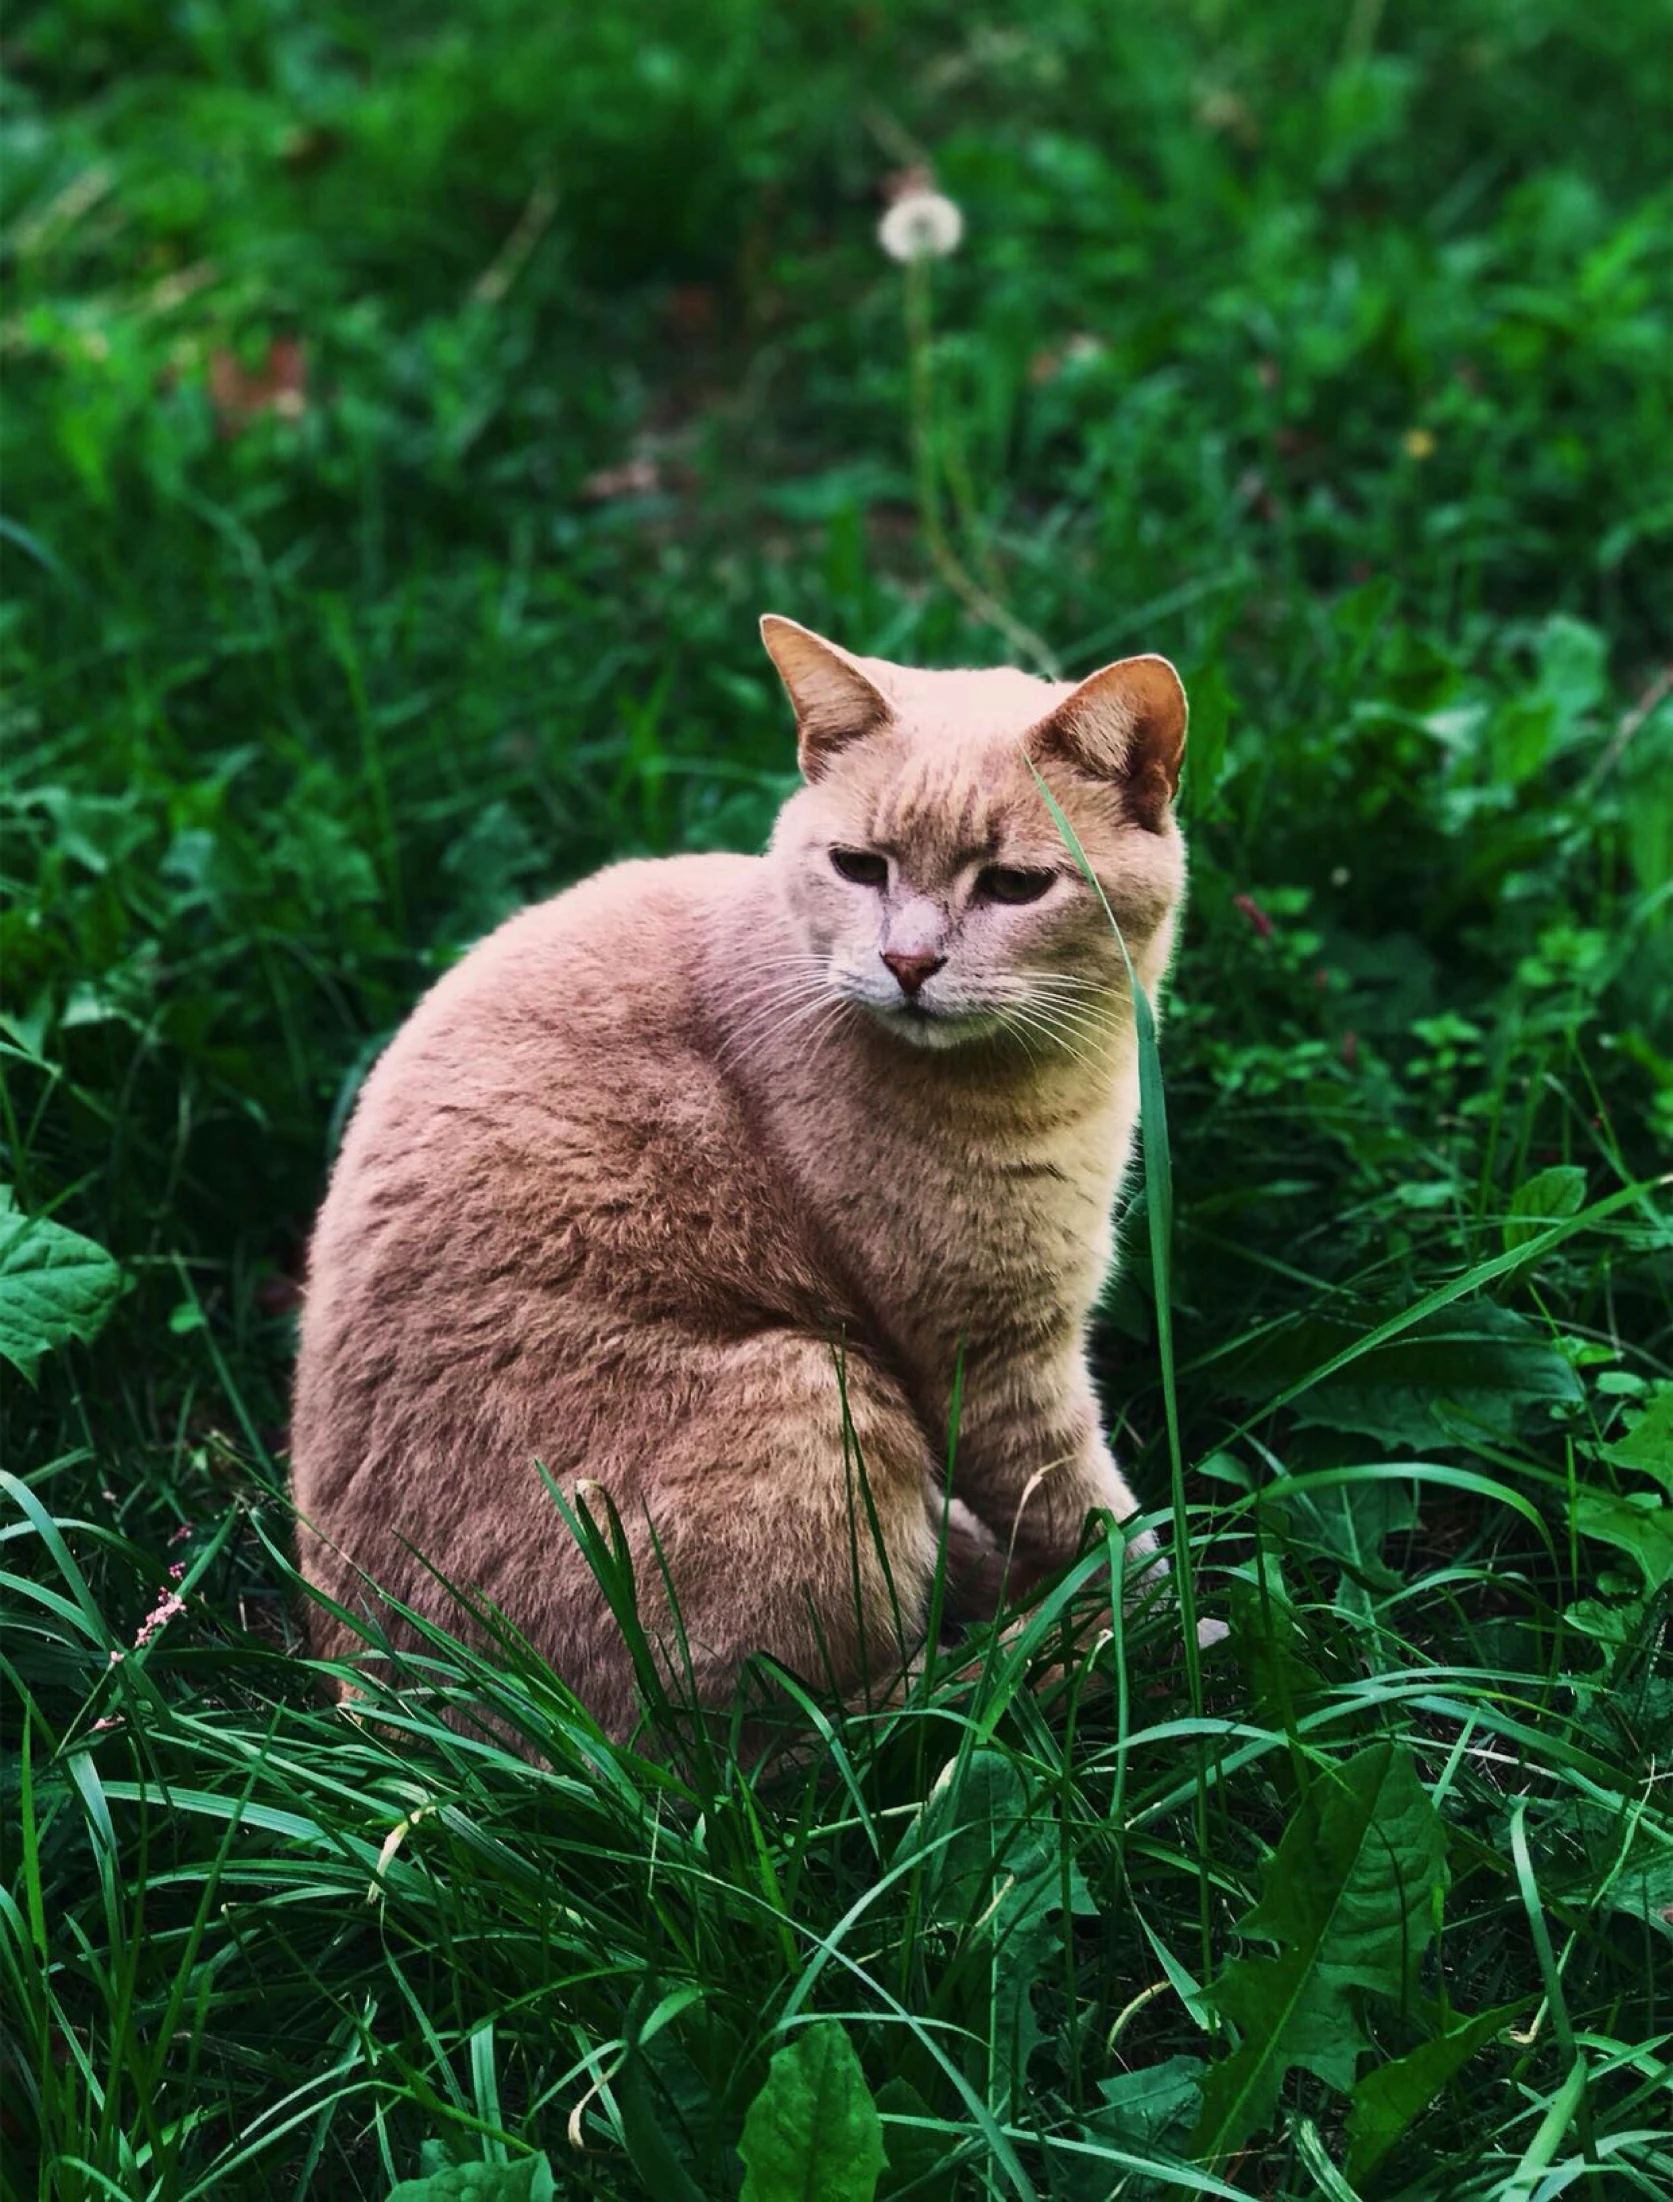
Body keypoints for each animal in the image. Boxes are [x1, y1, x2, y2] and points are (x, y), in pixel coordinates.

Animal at [294, 616, 1197, 1735]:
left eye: (1015, 886)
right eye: (858, 866)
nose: (907, 964)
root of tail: (398, 1716)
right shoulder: (991, 1357)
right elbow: (1095, 1521)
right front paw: (1170, 1625)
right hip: (820, 1393)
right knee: (797, 1731)